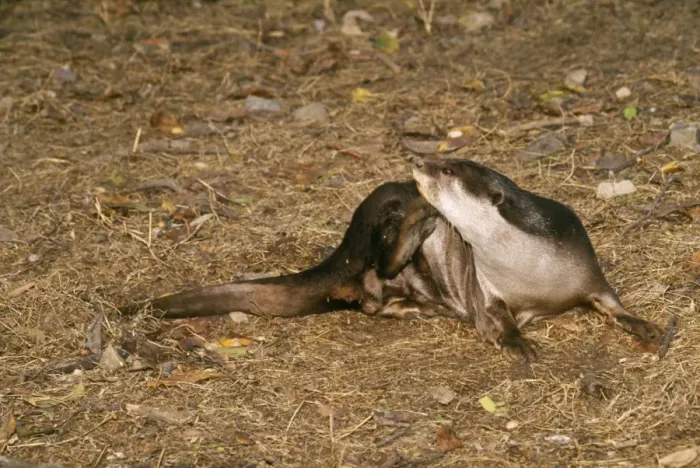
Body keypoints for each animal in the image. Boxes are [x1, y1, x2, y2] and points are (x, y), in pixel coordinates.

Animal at [412, 158, 663, 360]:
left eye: (447, 170)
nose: (418, 162)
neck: (535, 271)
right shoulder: (483, 287)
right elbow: (494, 317)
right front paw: (517, 342)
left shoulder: (588, 268)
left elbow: (611, 299)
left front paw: (641, 323)